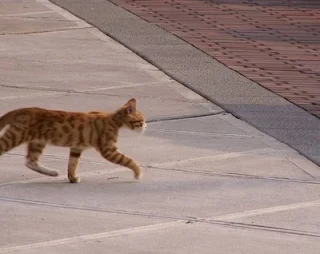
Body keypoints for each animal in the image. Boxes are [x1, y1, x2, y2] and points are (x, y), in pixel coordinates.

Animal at [0, 97, 147, 183]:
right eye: (141, 120)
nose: (146, 126)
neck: (113, 120)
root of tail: (21, 110)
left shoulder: (77, 147)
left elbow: (72, 164)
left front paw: (72, 177)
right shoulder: (109, 150)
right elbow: (128, 160)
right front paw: (138, 173)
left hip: (38, 142)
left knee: (30, 161)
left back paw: (52, 172)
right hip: (16, 136)